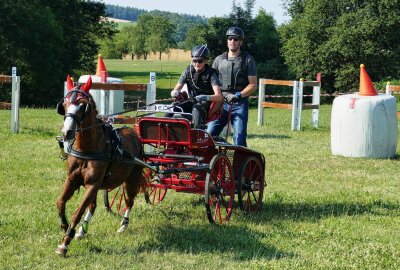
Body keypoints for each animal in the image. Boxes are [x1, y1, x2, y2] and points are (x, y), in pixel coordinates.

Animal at [54, 75, 145, 256]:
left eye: (83, 105)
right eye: (65, 104)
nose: (67, 132)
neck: (87, 148)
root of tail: (133, 133)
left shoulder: (92, 185)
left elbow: (78, 212)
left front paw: (65, 243)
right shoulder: (72, 180)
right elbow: (61, 203)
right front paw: (65, 227)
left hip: (131, 180)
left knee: (129, 201)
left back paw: (123, 225)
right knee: (94, 206)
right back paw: (82, 231)